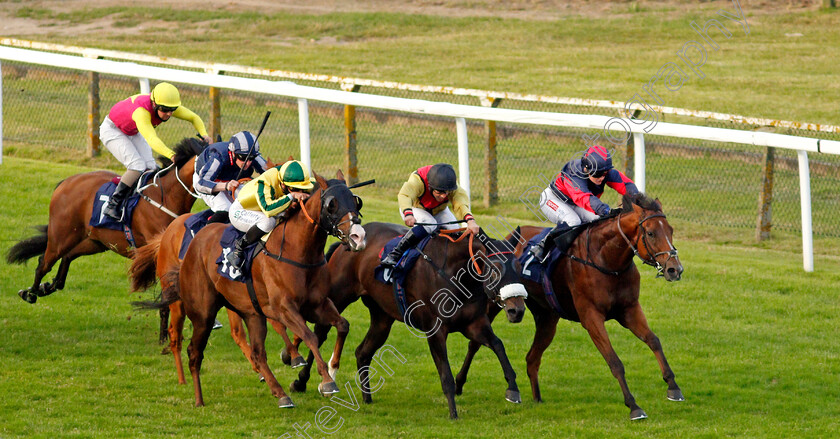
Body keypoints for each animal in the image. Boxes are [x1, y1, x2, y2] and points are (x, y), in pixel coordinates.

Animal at [6, 139, 205, 304]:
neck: (166, 196)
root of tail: (66, 182)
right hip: (62, 236)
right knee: (44, 263)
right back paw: (30, 293)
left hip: (95, 241)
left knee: (68, 256)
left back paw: (46, 287)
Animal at [126, 212, 304, 384]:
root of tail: (166, 233)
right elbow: (269, 326)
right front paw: (291, 358)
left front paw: (293, 355)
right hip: (178, 298)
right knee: (176, 333)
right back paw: (182, 379)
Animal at [146, 171, 366, 410]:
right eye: (332, 204)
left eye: (356, 200)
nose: (358, 237)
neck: (297, 252)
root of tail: (192, 242)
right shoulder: (284, 308)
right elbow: (310, 336)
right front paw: (326, 381)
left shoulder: (317, 305)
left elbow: (342, 325)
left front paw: (332, 368)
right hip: (203, 314)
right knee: (193, 351)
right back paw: (198, 398)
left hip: (252, 314)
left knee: (258, 353)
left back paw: (281, 394)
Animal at [292, 222, 528, 422]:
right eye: (496, 268)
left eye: (518, 267)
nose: (517, 310)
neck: (457, 277)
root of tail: (348, 242)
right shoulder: (435, 331)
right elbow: (446, 374)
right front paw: (453, 413)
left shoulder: (474, 324)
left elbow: (498, 345)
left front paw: (513, 390)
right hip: (338, 297)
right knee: (321, 333)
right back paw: (304, 381)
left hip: (382, 317)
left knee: (362, 352)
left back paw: (367, 397)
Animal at [452, 194, 684, 422]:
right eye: (651, 233)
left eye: (671, 230)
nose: (675, 269)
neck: (607, 261)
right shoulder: (591, 317)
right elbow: (614, 361)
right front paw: (634, 407)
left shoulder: (629, 310)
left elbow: (653, 340)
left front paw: (673, 387)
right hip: (495, 302)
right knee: (475, 343)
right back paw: (459, 383)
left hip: (547, 317)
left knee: (532, 358)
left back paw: (537, 399)